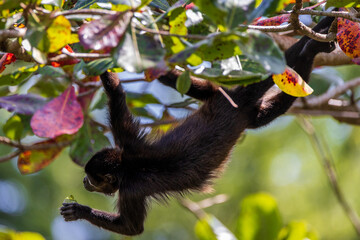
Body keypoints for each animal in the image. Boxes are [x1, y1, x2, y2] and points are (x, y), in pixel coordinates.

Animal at [61, 17, 334, 236]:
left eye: (93, 179)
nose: (84, 182)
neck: (125, 165)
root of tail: (238, 103)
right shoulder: (126, 141)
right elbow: (116, 93)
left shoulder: (130, 188)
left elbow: (131, 228)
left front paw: (79, 210)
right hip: (226, 98)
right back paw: (312, 48)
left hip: (236, 97)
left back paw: (312, 47)